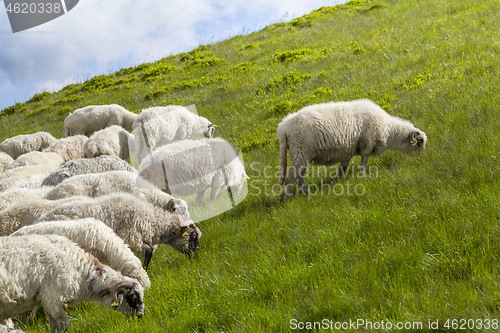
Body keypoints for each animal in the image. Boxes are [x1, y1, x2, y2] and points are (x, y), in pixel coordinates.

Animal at [34, 192, 202, 270]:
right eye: (193, 236)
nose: (197, 257)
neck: (152, 222)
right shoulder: (132, 239)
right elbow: (148, 253)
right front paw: (144, 270)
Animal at [276, 98, 428, 195]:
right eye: (420, 143)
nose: (422, 159)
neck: (389, 129)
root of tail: (283, 128)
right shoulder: (368, 144)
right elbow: (364, 161)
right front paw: (362, 175)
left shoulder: (347, 151)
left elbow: (342, 168)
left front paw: (336, 181)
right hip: (300, 152)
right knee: (291, 177)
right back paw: (288, 198)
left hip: (299, 155)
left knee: (298, 177)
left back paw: (306, 193)